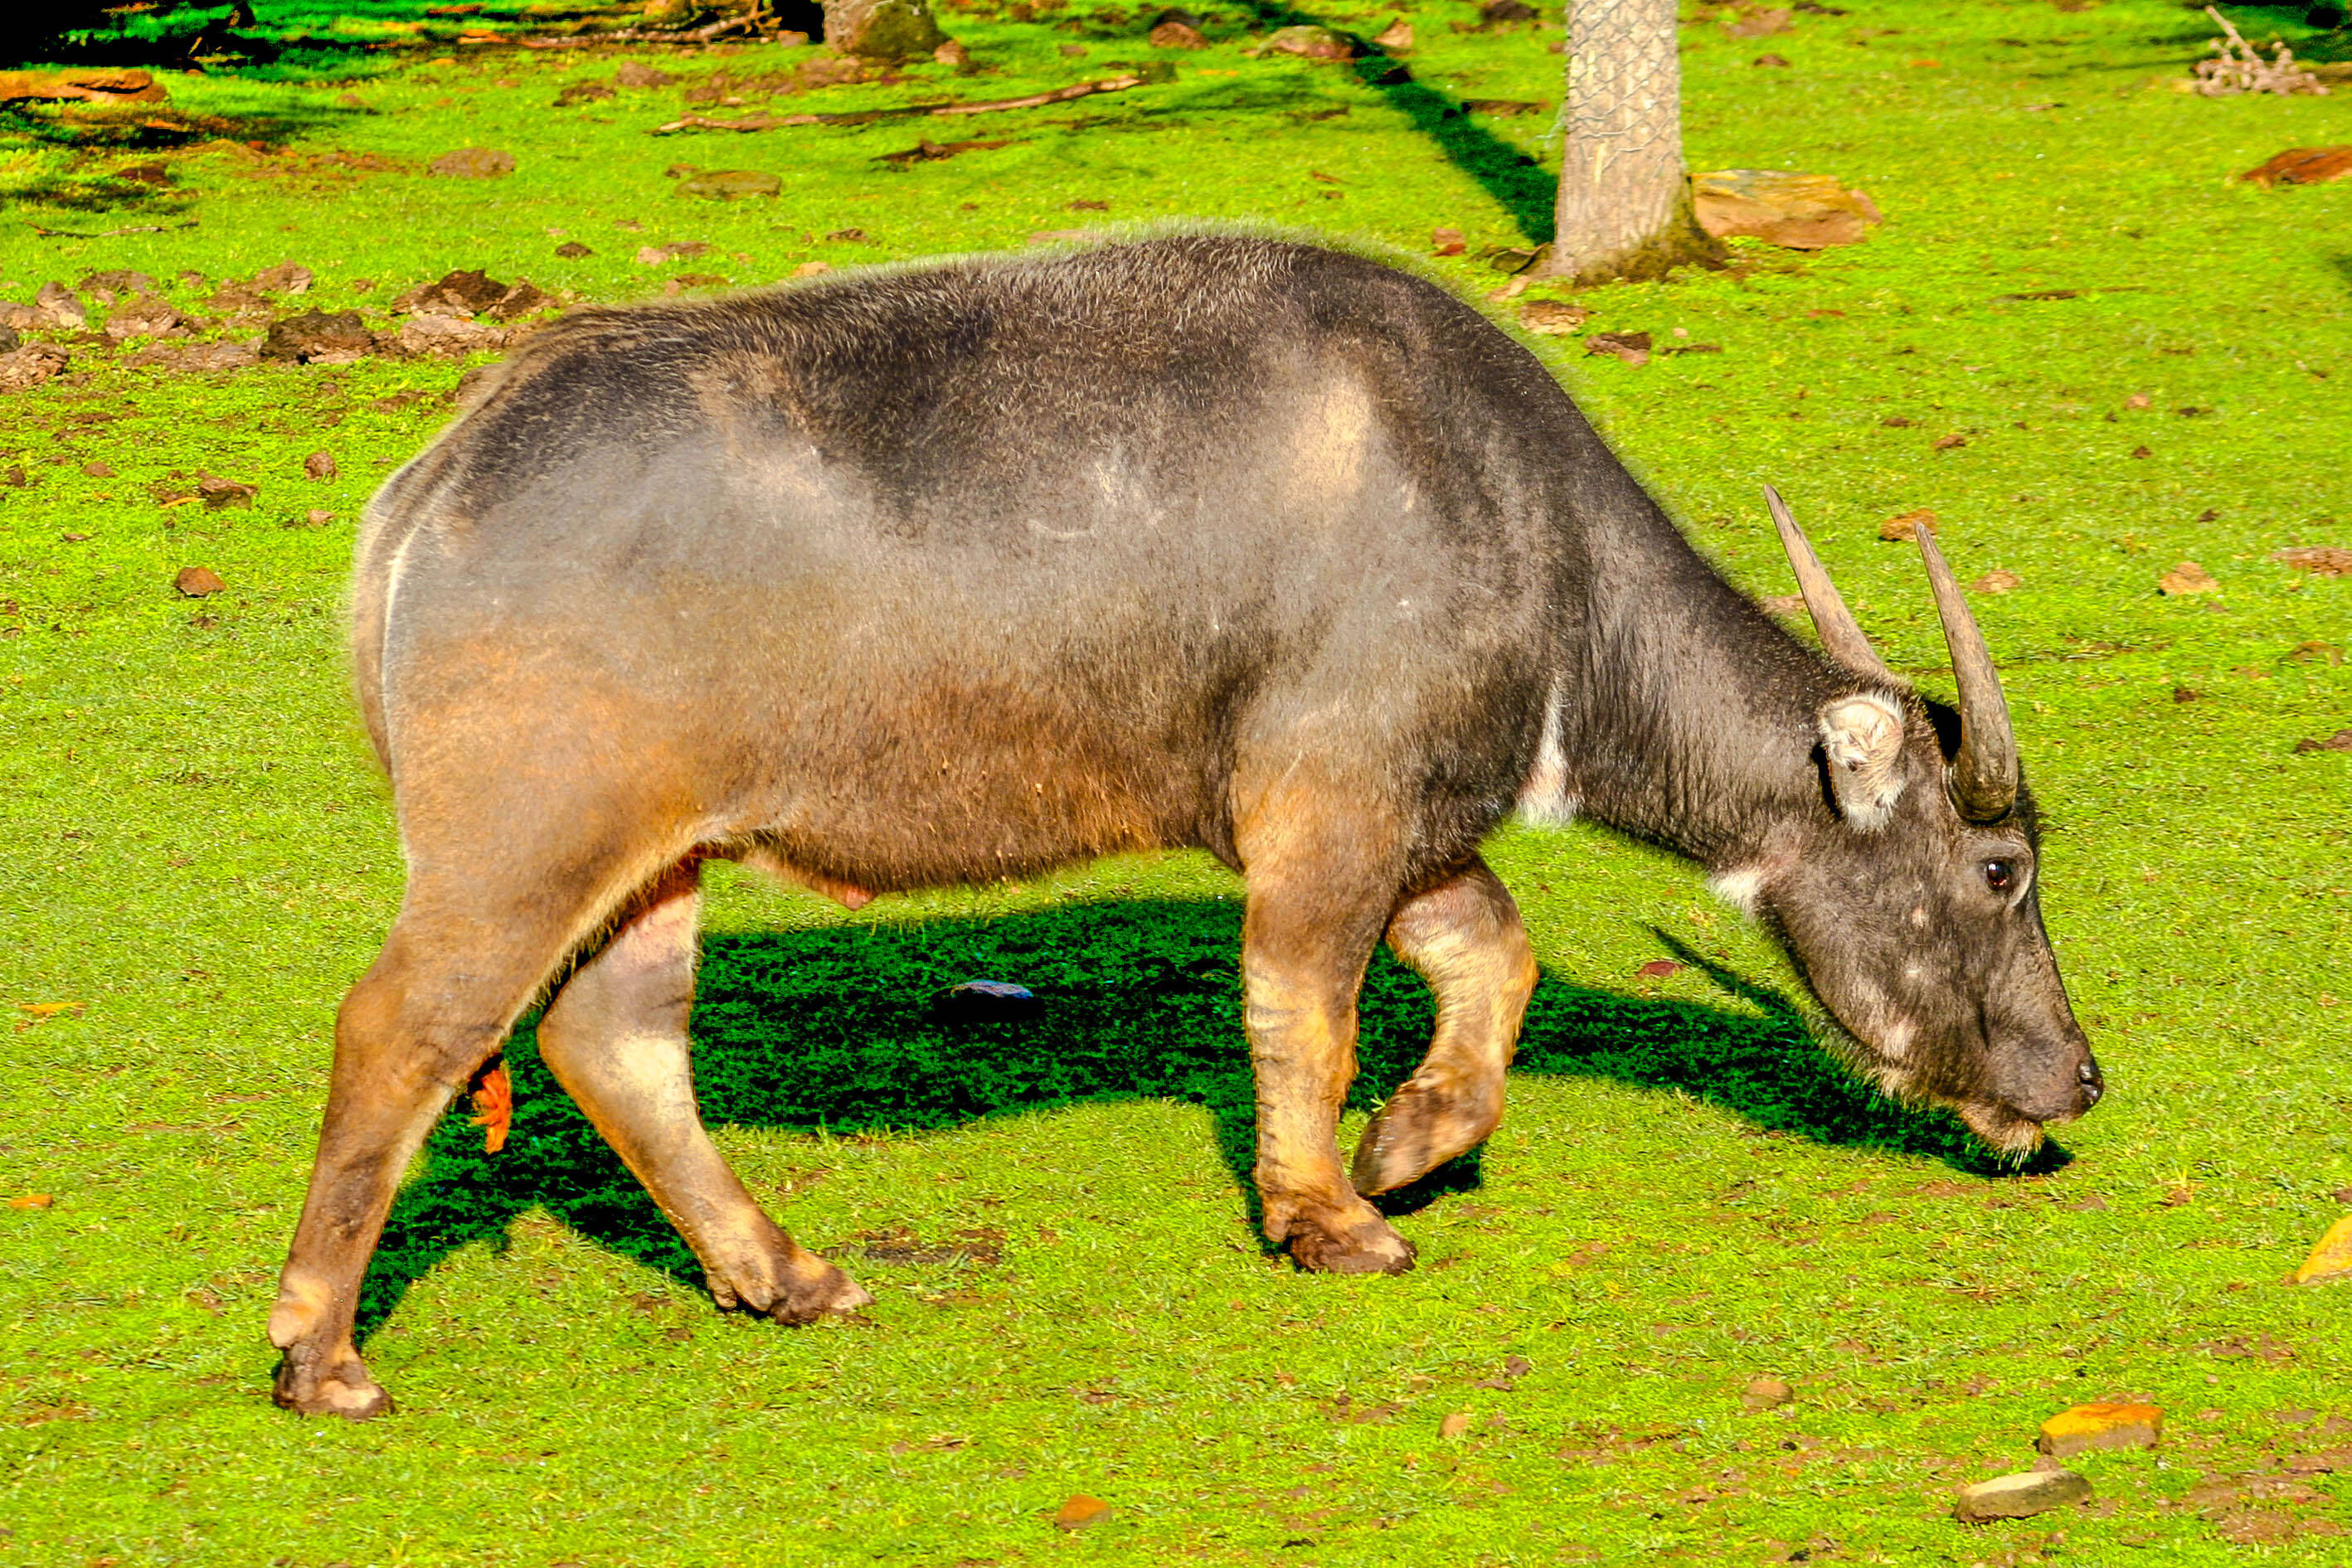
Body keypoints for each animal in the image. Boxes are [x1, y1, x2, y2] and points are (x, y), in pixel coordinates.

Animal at [266, 235, 2107, 1420]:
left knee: (612, 1038)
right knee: (399, 1029)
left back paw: (781, 1272)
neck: (1520, 531)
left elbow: (1492, 960)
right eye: (1998, 868)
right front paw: (1332, 1213)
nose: (2076, 1076)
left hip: (655, 859)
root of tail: (437, 481)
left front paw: (1410, 1141)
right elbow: (1303, 1009)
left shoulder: (1400, 815)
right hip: (520, 842)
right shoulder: (1325, 812)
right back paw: (319, 1351)